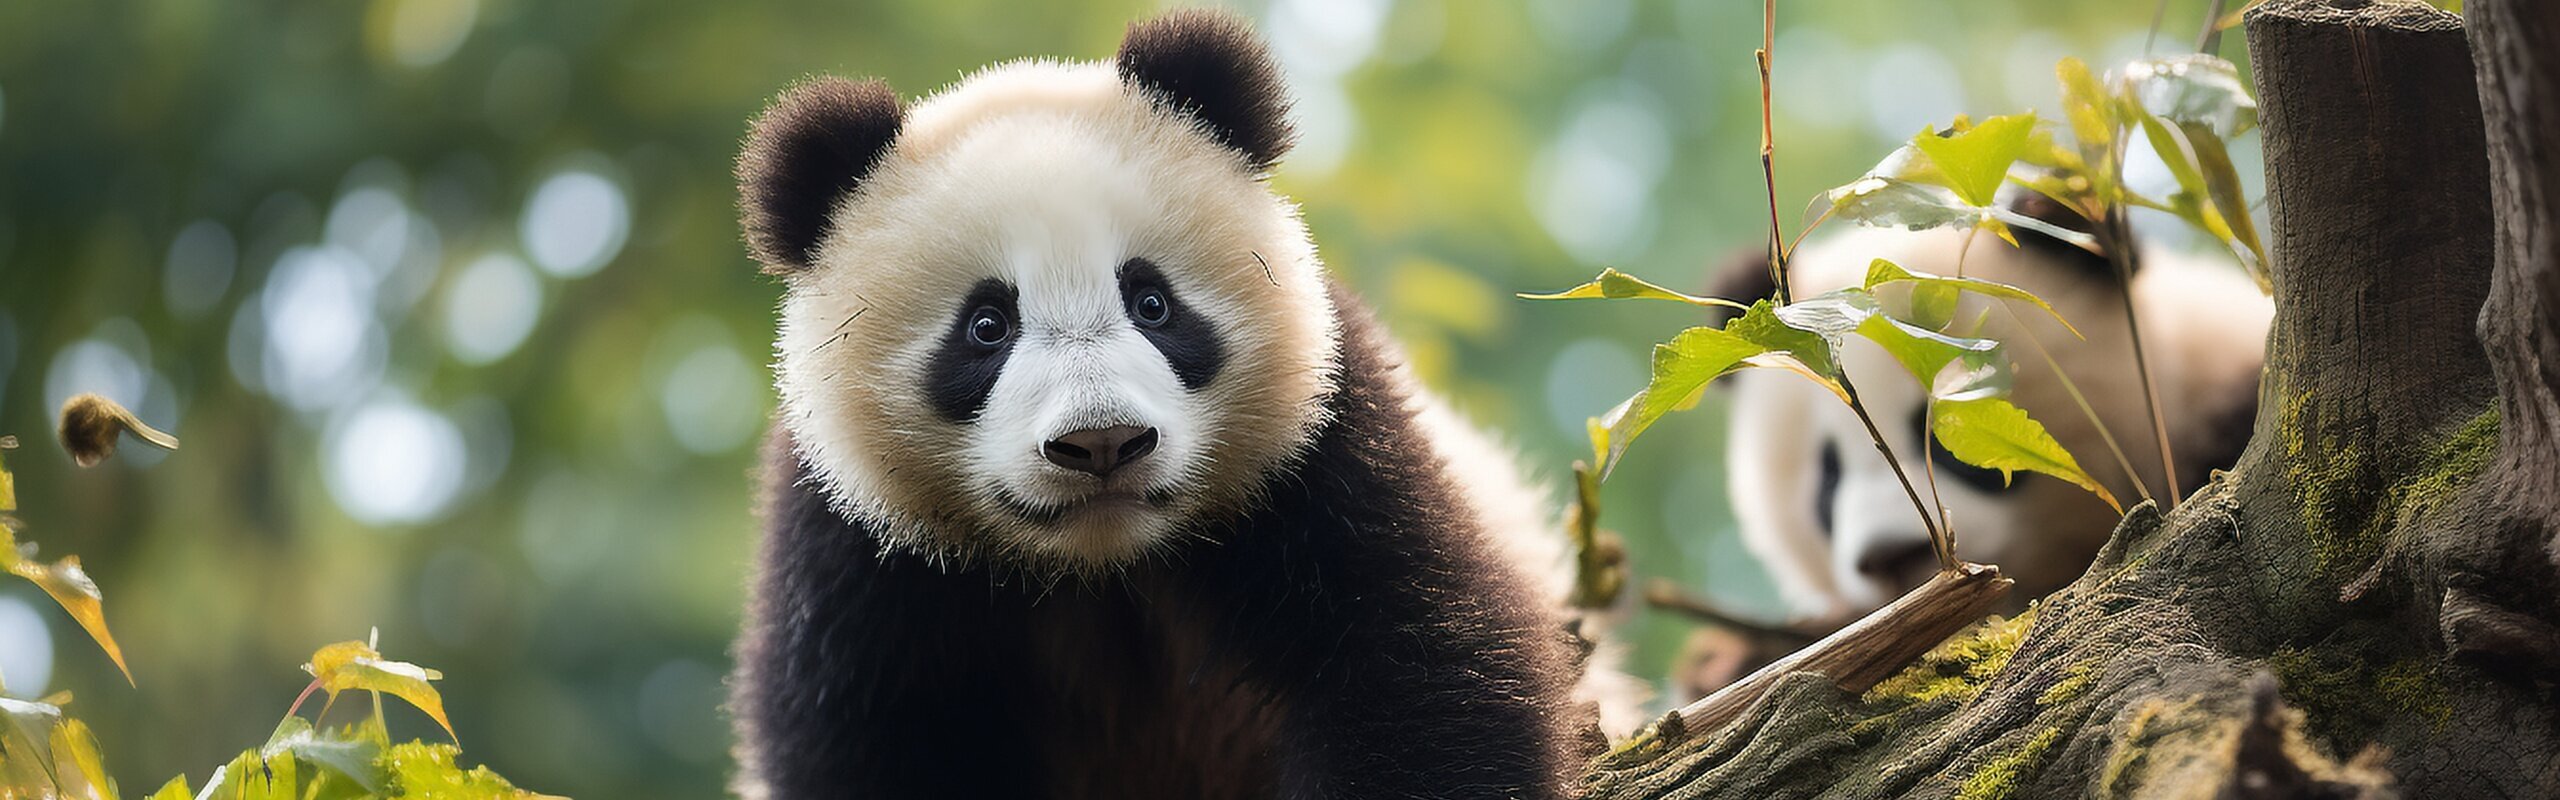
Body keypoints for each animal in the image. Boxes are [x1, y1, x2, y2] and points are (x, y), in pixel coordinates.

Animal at [726, 10, 1602, 799]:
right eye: (986, 326)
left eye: (1151, 303)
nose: (1102, 442)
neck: (1107, 566)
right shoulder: (855, 551)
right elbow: (869, 740)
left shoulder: (1327, 445)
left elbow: (1420, 660)